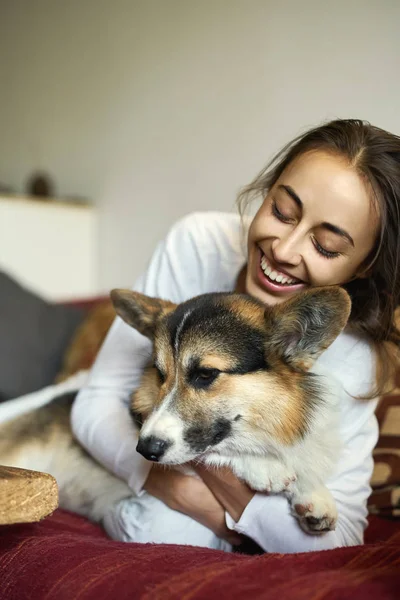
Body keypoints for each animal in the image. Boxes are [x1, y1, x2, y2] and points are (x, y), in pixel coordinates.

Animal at [0, 286, 350, 536]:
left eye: (206, 374)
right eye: (159, 373)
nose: (144, 450)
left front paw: (313, 494)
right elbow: (208, 454)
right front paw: (264, 467)